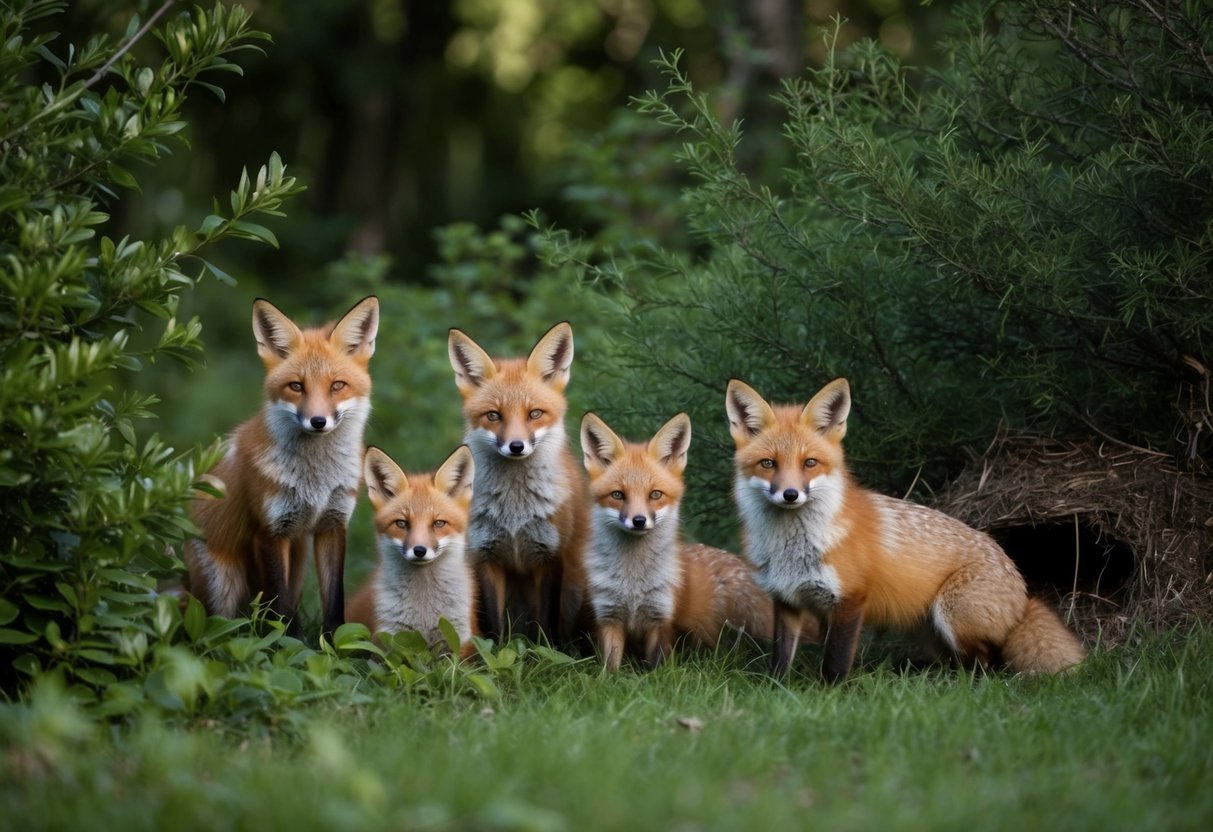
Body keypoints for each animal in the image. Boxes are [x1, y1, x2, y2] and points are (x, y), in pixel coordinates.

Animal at [184, 296, 379, 637]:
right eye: (296, 386)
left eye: (337, 386)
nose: (318, 421)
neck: (316, 481)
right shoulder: (269, 531)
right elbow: (282, 607)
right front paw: (289, 643)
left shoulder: (333, 525)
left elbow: (334, 603)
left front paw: (335, 645)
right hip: (221, 584)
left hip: (298, 560)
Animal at [346, 445, 479, 658]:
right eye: (401, 523)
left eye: (438, 523)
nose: (419, 550)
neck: (424, 611)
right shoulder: (388, 638)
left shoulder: (460, 640)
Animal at [447, 322, 590, 645]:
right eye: (493, 416)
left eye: (534, 414)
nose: (516, 446)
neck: (515, 511)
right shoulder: (486, 556)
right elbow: (496, 629)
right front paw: (495, 653)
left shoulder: (550, 556)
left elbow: (546, 623)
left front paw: (545, 652)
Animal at [580, 411, 802, 670]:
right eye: (617, 495)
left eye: (655, 494)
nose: (638, 521)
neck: (633, 584)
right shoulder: (609, 616)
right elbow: (610, 670)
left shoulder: (662, 619)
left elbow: (656, 669)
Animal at [725, 377, 1087, 682]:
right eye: (768, 464)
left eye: (809, 463)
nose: (790, 494)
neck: (793, 549)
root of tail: (1022, 591)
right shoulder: (787, 600)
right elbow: (780, 659)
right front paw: (777, 691)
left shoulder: (851, 600)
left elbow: (835, 664)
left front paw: (829, 696)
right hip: (929, 630)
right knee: (957, 662)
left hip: (954, 615)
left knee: (988, 666)